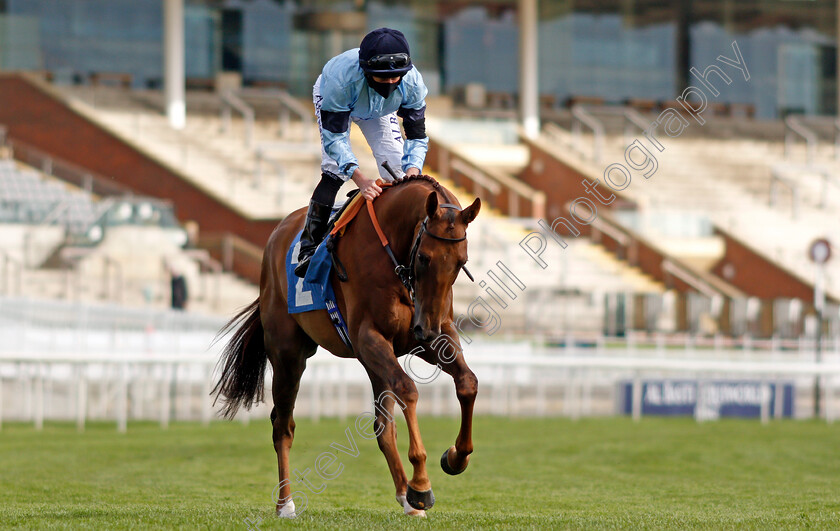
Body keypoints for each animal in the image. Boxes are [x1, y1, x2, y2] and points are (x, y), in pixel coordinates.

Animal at [213, 176, 482, 520]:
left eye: (461, 262)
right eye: (424, 257)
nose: (428, 328)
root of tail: (276, 234)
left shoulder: (429, 335)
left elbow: (467, 382)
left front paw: (456, 457)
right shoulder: (369, 336)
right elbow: (408, 390)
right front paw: (421, 484)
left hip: (373, 360)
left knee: (383, 427)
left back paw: (406, 497)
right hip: (289, 355)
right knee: (282, 426)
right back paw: (286, 503)